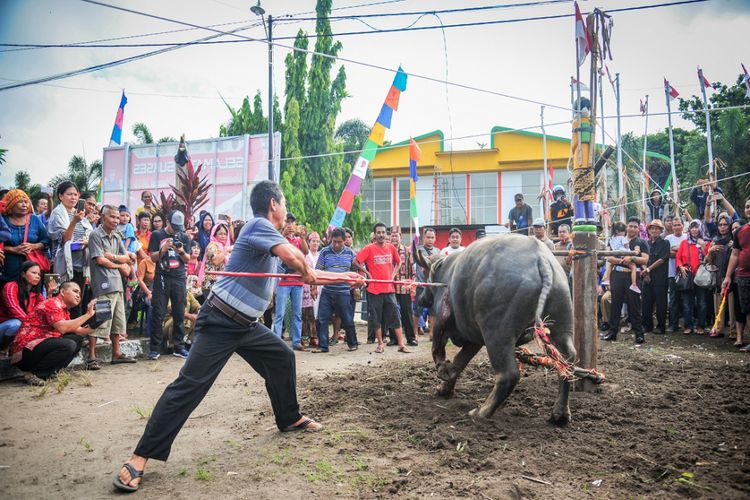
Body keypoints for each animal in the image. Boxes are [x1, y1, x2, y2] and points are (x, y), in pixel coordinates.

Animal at [418, 234, 576, 426]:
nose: (421, 299)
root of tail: (541, 259)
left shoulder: (442, 322)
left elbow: (438, 349)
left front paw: (443, 371)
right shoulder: (474, 339)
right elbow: (459, 361)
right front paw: (445, 387)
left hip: (497, 335)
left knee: (508, 375)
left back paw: (481, 412)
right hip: (561, 324)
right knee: (567, 361)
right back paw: (560, 414)